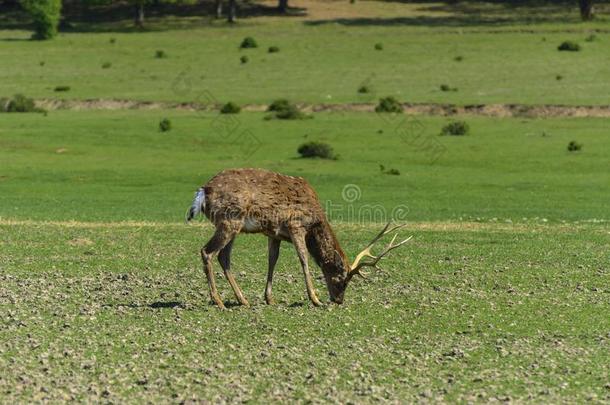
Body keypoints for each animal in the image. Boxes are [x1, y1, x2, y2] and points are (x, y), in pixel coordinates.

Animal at [182, 169, 408, 308]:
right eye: (342, 280)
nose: (338, 300)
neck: (316, 219)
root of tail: (203, 192)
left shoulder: (274, 234)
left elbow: (272, 260)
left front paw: (269, 298)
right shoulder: (296, 225)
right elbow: (304, 259)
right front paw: (315, 299)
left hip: (233, 226)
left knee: (224, 257)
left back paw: (242, 300)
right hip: (230, 220)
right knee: (207, 252)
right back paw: (218, 301)